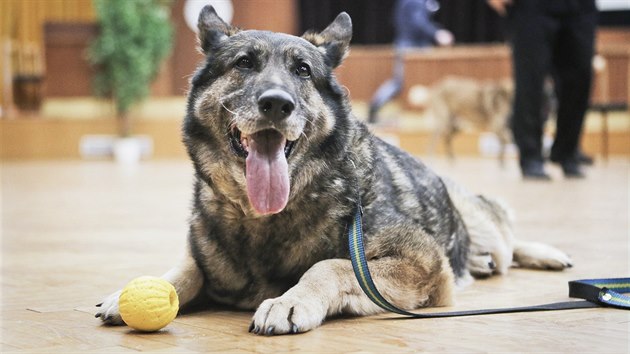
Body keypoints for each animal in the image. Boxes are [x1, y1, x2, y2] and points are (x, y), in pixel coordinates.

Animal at [96, 6, 576, 336]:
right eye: (244, 64)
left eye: (303, 70)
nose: (277, 104)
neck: (266, 219)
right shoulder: (202, 256)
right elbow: (185, 269)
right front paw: (139, 290)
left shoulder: (421, 261)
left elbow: (331, 265)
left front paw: (289, 300)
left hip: (483, 225)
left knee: (508, 239)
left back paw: (542, 253)